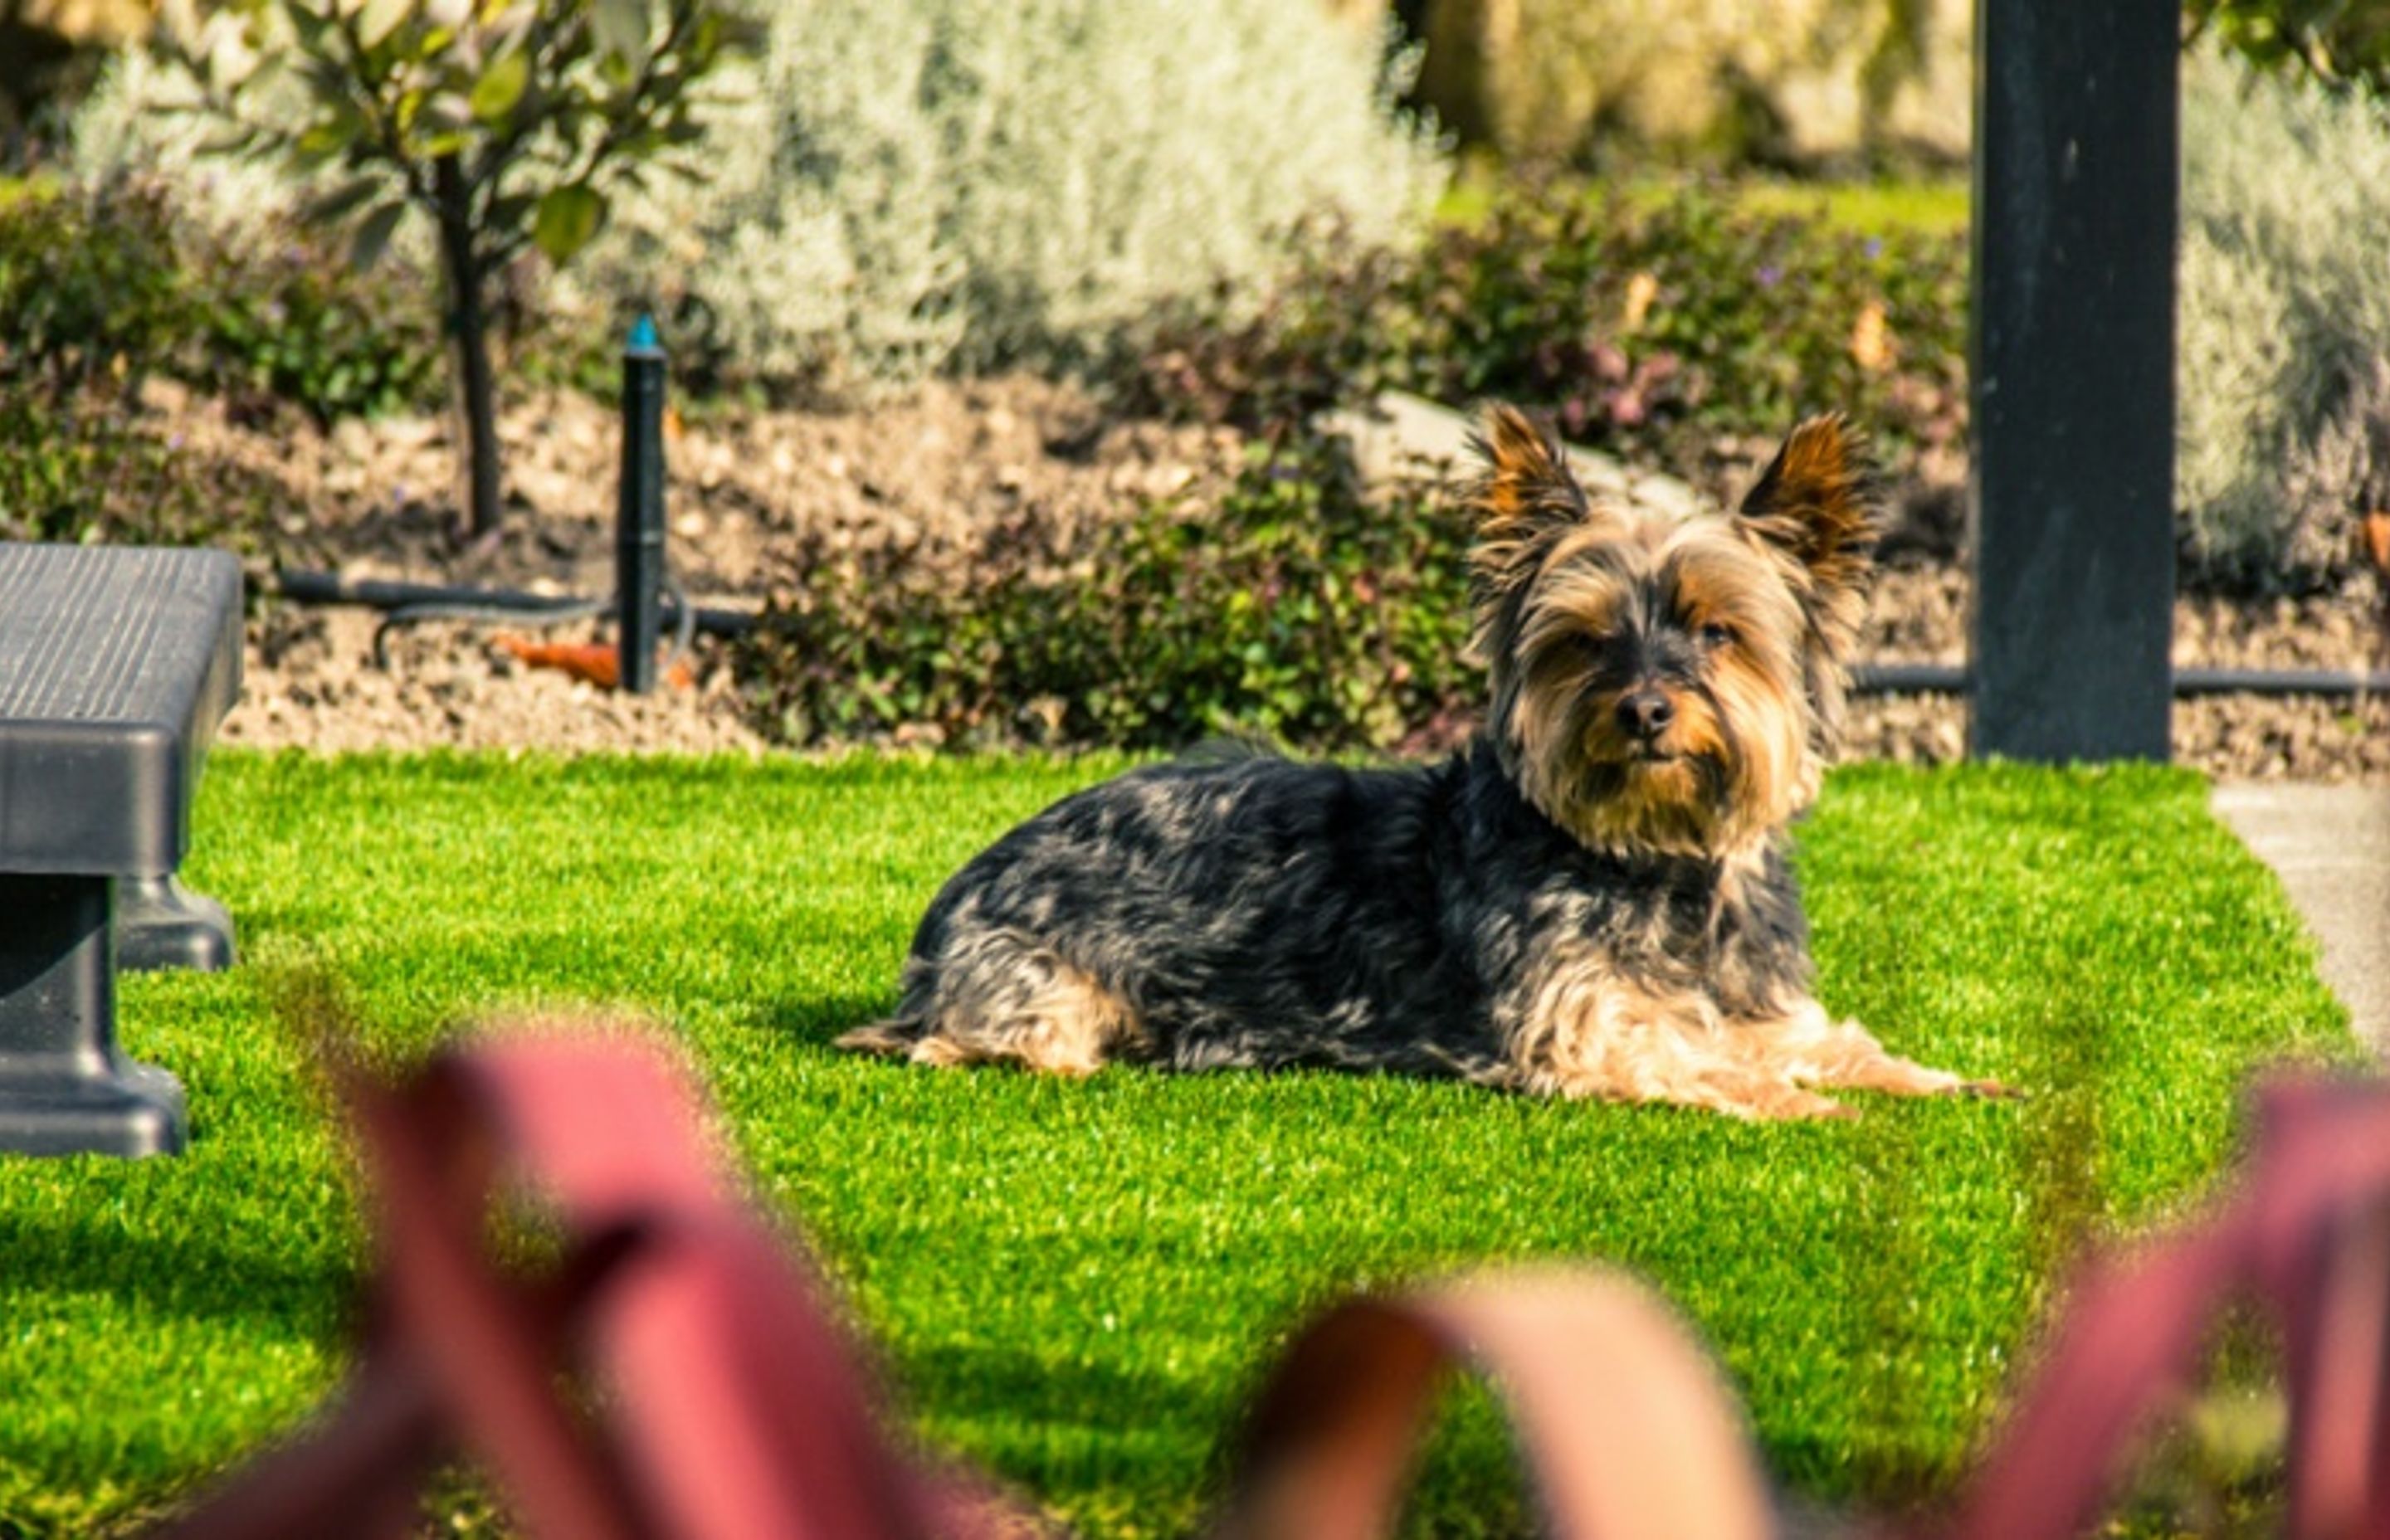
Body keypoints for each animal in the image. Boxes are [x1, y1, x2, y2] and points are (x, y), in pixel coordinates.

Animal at [841, 408, 1997, 1118]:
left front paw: (1947, 1083)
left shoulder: (1761, 1004)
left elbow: (1830, 1041)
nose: (1646, 708)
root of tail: (953, 896)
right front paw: (1810, 1105)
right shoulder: (1584, 1027)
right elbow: (1701, 1059)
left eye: (1719, 631)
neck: (1653, 861)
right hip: (1042, 998)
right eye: (1587, 640)